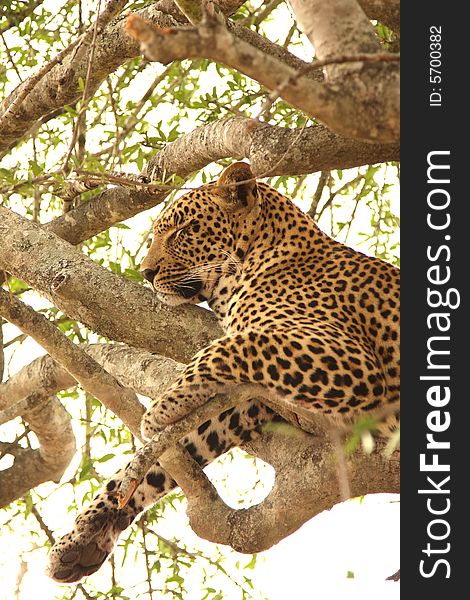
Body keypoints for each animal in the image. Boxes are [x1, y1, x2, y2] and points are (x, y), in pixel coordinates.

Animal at [46, 162, 400, 584]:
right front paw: (84, 534)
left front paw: (162, 408)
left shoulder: (346, 357)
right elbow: (166, 457)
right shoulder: (256, 403)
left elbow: (235, 344)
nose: (146, 272)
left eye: (182, 230)